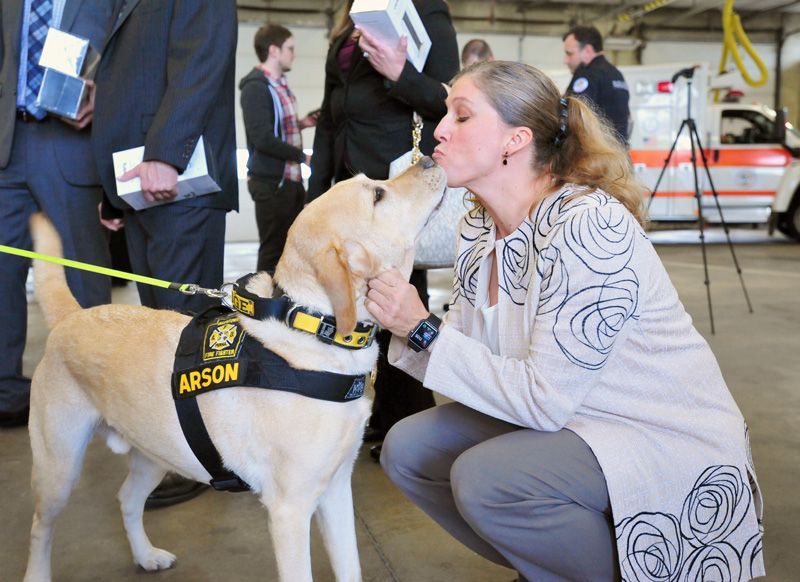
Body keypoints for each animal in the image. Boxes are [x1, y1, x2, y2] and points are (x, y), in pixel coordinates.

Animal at [23, 156, 450, 582]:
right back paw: (38, 572)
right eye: (378, 194)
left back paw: (145, 555)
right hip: (59, 469)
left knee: (126, 498)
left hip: (155, 453)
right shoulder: (289, 511)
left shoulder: (336, 489)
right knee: (40, 527)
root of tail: (71, 316)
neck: (314, 327)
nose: (430, 157)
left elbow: (350, 568)